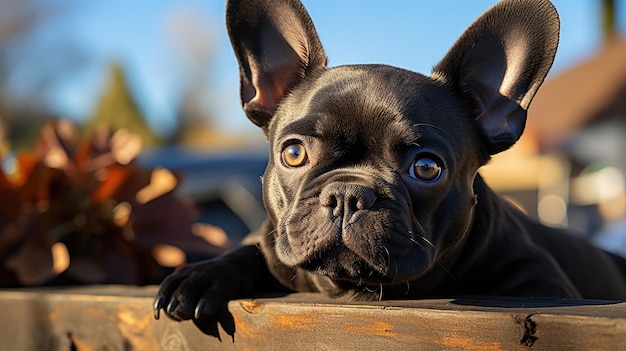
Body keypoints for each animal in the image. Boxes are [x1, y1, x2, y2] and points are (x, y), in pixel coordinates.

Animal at [154, 0, 624, 332]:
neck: (350, 293)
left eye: (427, 168)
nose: (347, 194)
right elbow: (249, 249)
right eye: (293, 154)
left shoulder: (540, 284)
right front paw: (200, 276)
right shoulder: (270, 242)